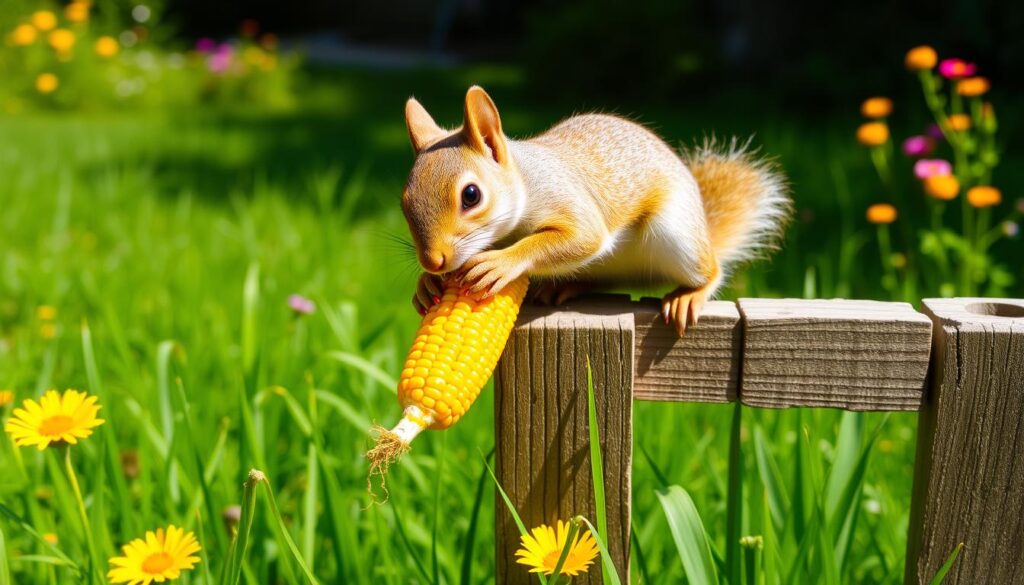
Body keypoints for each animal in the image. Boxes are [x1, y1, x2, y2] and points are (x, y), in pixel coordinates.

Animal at [401, 86, 790, 335]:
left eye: (471, 195)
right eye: (404, 203)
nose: (432, 261)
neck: (525, 181)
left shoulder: (568, 198)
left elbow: (580, 237)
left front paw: (501, 262)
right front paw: (425, 283)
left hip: (678, 237)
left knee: (711, 270)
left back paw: (689, 295)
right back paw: (564, 286)